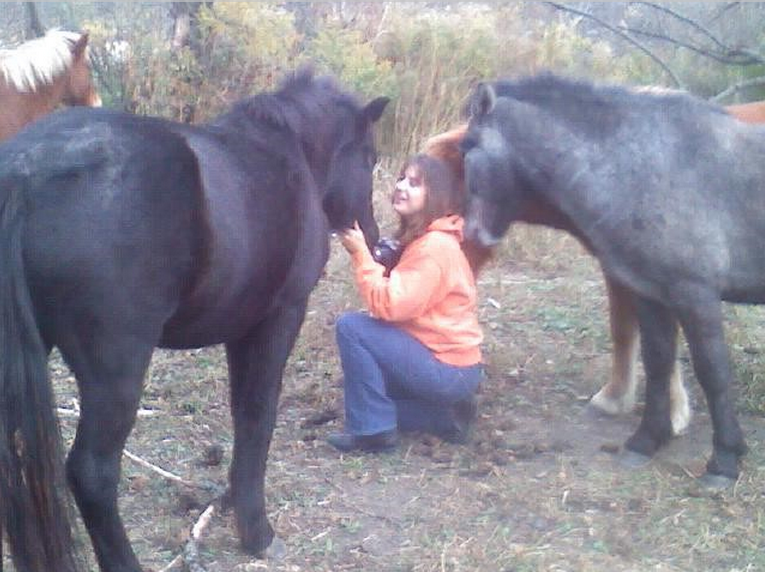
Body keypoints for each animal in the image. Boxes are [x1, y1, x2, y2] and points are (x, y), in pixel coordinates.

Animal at [1, 70, 388, 572]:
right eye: (370, 157)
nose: (377, 241)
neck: (289, 154)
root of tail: (27, 170)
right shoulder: (277, 319)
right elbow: (257, 417)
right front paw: (256, 531)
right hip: (116, 370)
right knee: (92, 472)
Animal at [456, 72, 760, 488]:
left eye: (467, 148)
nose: (471, 234)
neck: (641, 164)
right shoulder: (650, 293)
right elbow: (658, 361)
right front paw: (646, 440)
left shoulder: (695, 295)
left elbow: (713, 373)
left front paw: (725, 459)